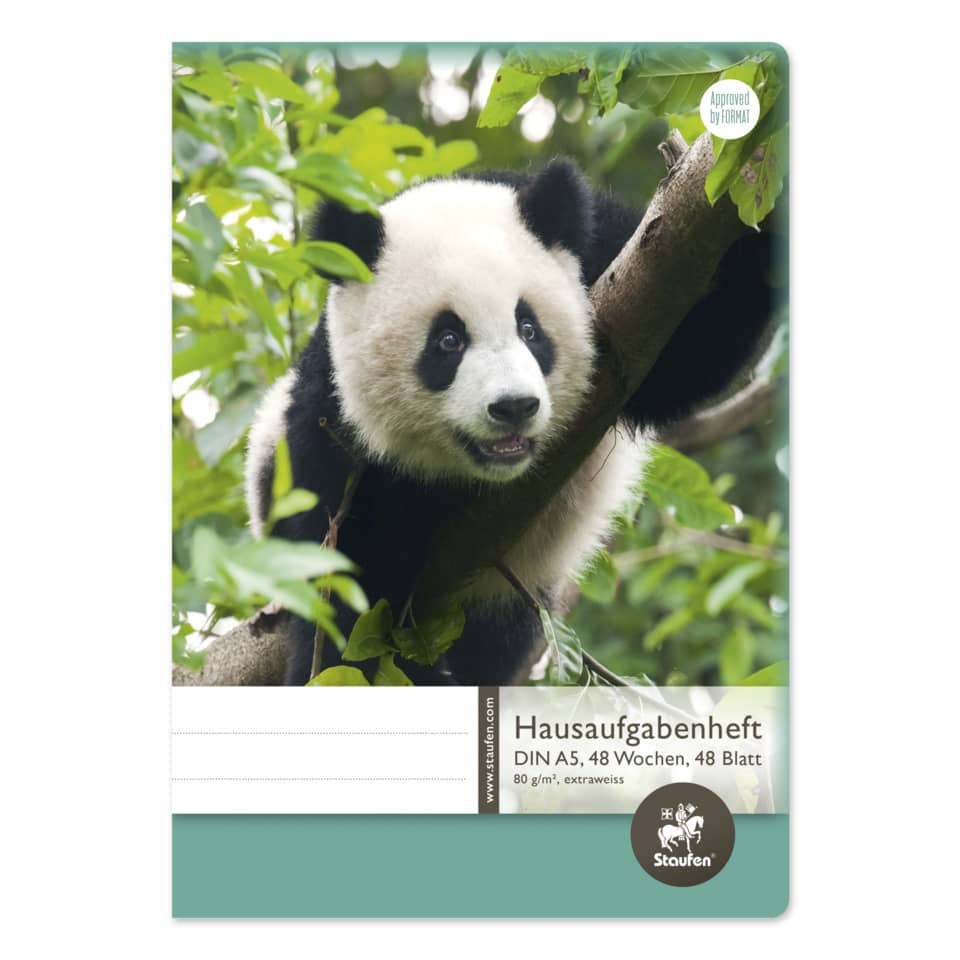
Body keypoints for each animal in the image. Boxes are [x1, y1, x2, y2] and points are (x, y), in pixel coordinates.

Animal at [245, 159, 774, 686]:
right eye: (448, 340)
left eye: (529, 328)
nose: (514, 406)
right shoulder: (332, 424)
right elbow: (346, 580)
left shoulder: (616, 261)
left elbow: (693, 353)